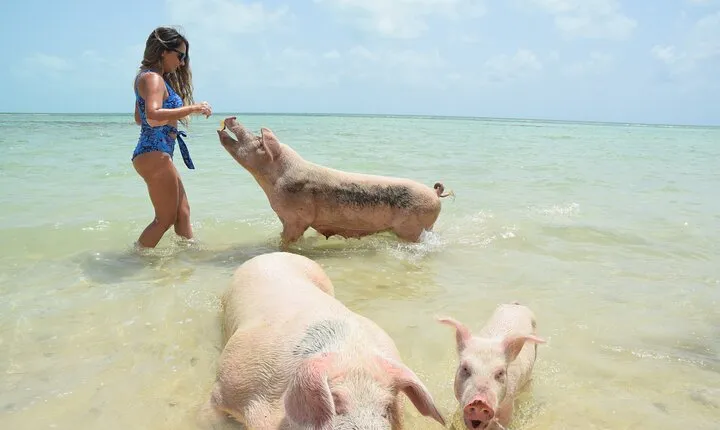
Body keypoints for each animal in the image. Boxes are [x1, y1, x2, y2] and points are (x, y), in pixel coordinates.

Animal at [216, 116, 453, 247]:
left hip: (415, 226)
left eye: (258, 140)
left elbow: (289, 239)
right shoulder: (284, 217)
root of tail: (434, 193)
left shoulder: (297, 218)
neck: (273, 182)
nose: (232, 117)